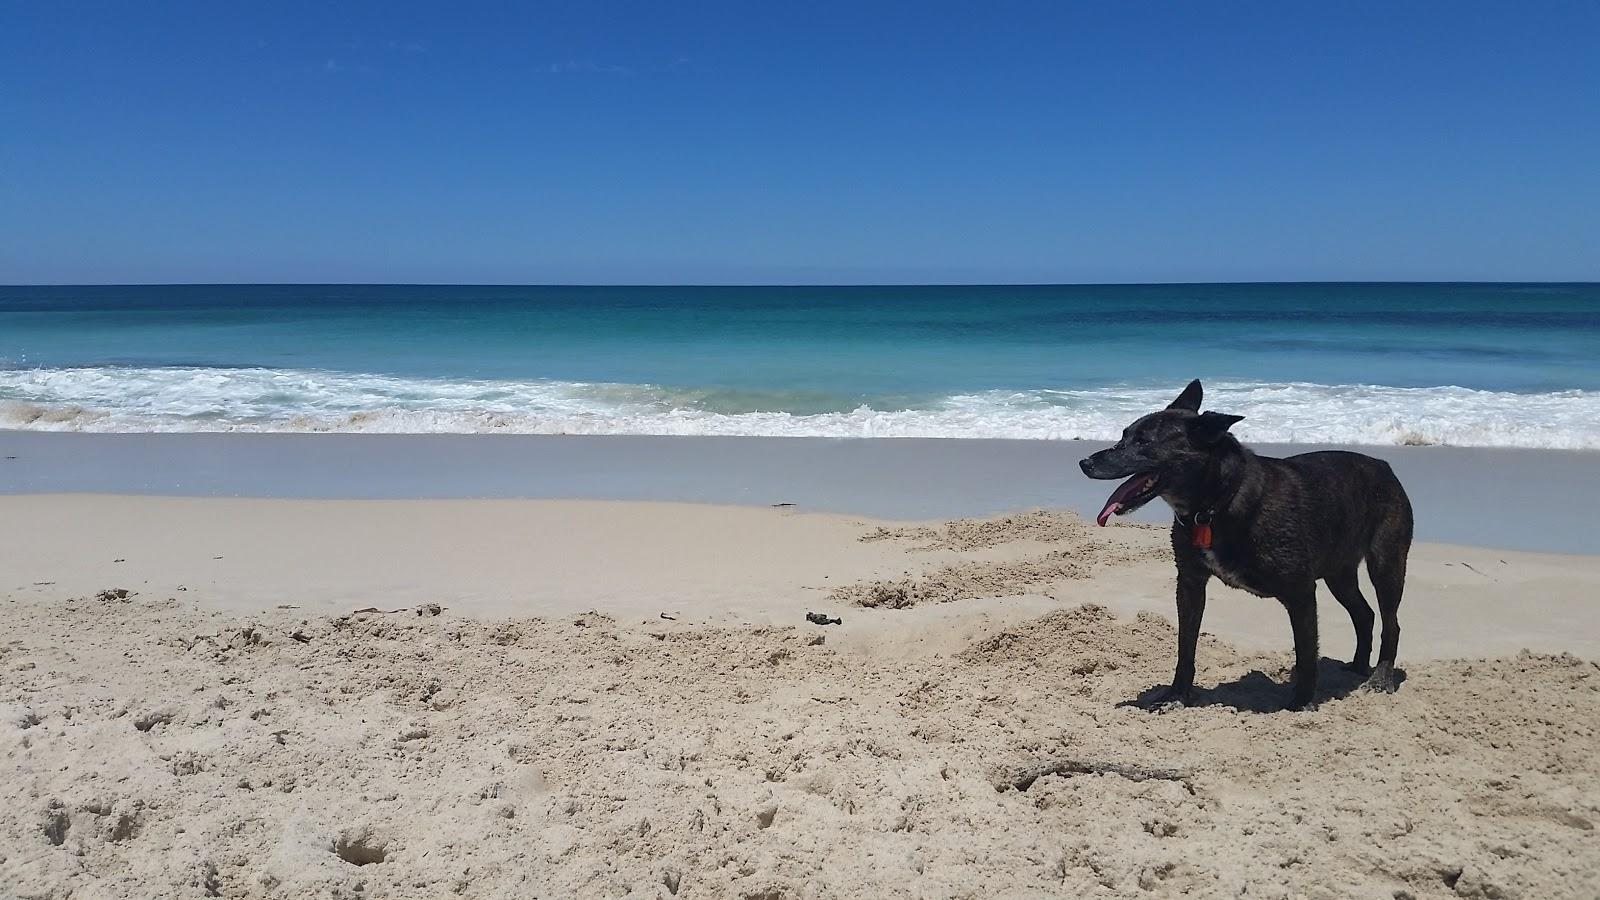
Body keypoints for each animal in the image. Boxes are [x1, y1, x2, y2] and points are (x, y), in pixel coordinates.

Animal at [1075, 377, 1414, 707]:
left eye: (1144, 442)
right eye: (1124, 435)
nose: (1085, 463)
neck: (1215, 505)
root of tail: (1384, 467)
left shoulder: (1301, 592)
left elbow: (1306, 654)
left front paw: (1302, 705)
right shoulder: (1190, 583)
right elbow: (1186, 646)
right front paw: (1177, 695)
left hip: (1386, 564)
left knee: (1391, 622)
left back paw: (1381, 678)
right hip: (1338, 573)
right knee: (1364, 614)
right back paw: (1357, 667)